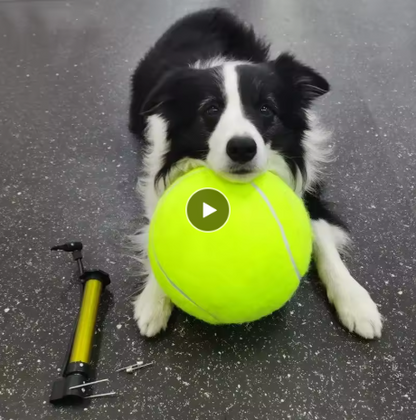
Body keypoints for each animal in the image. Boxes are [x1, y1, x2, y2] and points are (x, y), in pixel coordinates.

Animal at [128, 8, 382, 340]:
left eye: (266, 109)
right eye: (210, 109)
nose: (242, 148)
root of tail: (208, 11)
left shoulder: (308, 189)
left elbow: (323, 240)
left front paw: (355, 301)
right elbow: (154, 236)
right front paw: (153, 300)